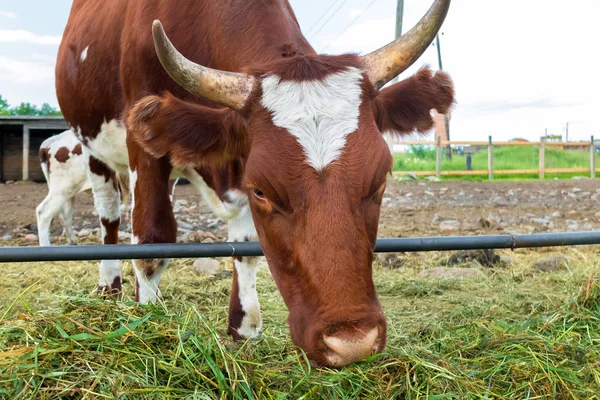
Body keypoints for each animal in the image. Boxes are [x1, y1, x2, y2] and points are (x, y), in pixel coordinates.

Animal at [56, 0, 452, 368]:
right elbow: (152, 240)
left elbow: (246, 247)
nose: (352, 342)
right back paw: (110, 287)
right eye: (262, 189)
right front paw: (149, 324)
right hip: (92, 148)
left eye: (380, 179)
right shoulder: (145, 146)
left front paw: (244, 329)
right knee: (109, 216)